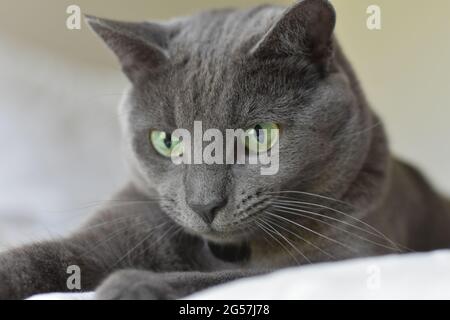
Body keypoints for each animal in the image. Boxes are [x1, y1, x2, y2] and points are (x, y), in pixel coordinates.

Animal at [0, 0, 450, 300]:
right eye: (167, 140)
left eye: (259, 134)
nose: (204, 204)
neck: (228, 251)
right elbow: (38, 257)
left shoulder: (345, 257)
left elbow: (238, 278)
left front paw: (127, 285)